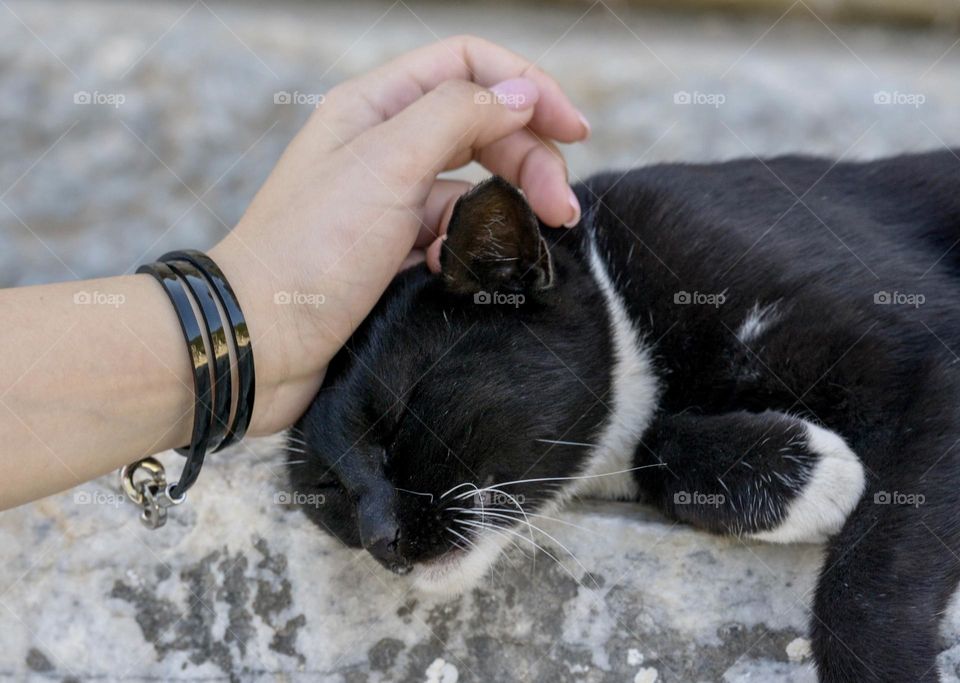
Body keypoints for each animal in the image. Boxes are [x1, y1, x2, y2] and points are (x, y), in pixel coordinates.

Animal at [288, 152, 960, 680]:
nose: (379, 538)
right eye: (327, 487)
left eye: (402, 416)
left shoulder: (936, 358)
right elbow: (650, 447)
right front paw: (799, 471)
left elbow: (868, 575)